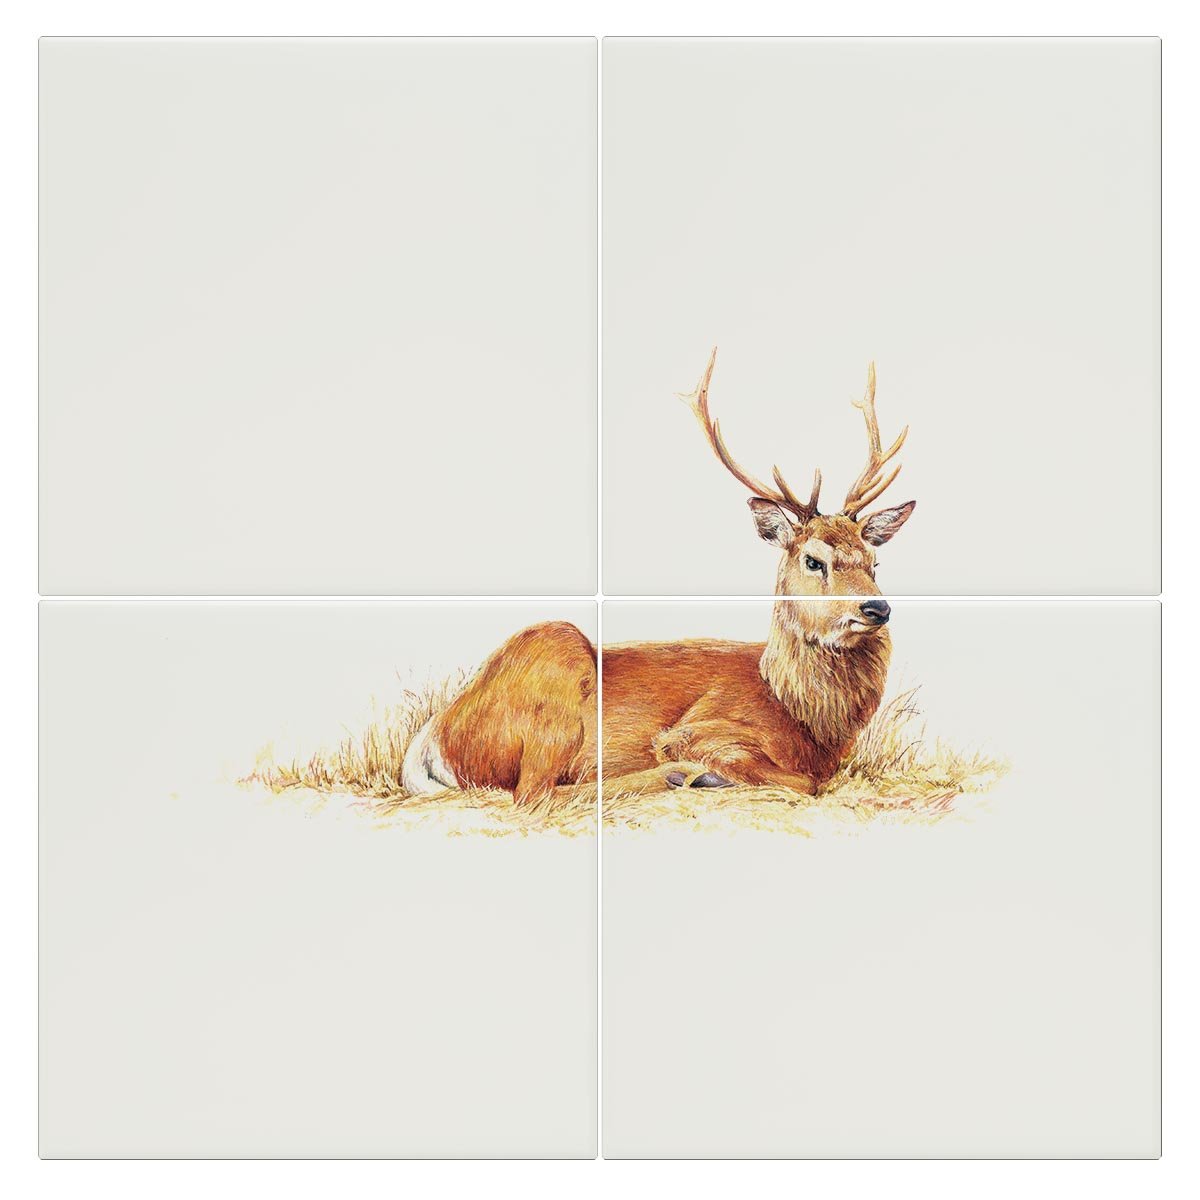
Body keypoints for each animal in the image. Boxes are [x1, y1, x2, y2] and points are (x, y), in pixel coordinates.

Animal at [401, 348, 915, 808]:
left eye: (874, 561)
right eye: (813, 560)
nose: (877, 607)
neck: (799, 714)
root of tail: (437, 737)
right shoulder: (696, 730)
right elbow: (804, 783)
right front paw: (705, 773)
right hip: (554, 660)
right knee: (533, 794)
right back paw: (679, 776)